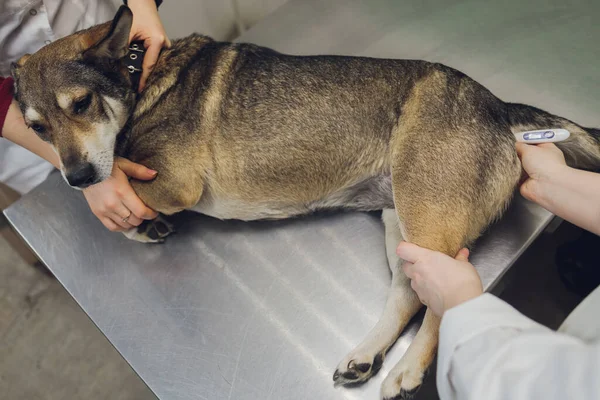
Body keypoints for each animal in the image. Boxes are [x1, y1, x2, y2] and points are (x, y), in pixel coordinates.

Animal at [10, 6, 600, 400]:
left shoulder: (176, 184)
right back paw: (366, 357)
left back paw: (408, 371)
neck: (142, 78)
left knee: (446, 292)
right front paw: (139, 224)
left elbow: (126, 187)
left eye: (81, 104)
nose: (77, 179)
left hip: (425, 215)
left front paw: (129, 215)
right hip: (401, 222)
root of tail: (499, 106)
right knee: (406, 294)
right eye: (36, 128)